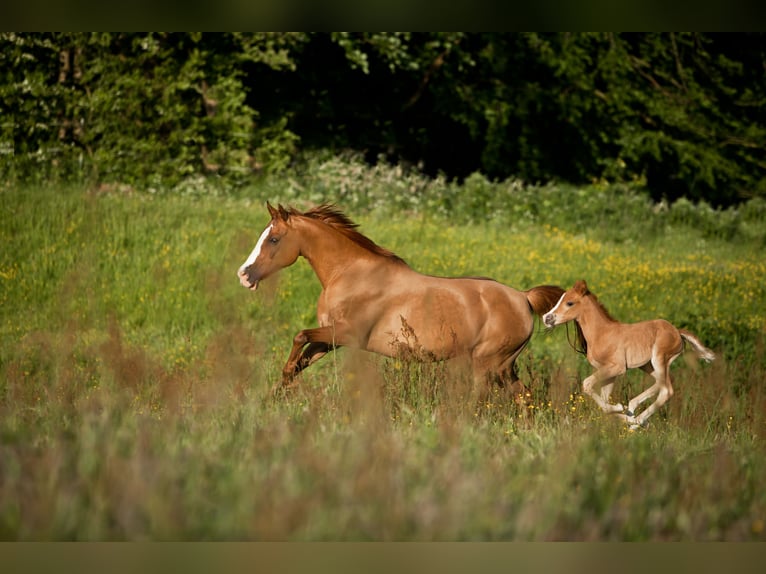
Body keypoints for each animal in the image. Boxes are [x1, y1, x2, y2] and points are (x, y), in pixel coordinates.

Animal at [237, 204, 568, 400]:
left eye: (274, 239)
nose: (244, 274)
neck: (351, 274)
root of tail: (524, 298)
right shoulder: (331, 339)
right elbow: (301, 359)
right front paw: (274, 393)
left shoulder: (346, 334)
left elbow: (299, 335)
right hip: (504, 367)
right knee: (524, 396)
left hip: (487, 364)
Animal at [544, 282, 716, 430]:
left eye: (570, 303)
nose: (547, 318)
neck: (601, 333)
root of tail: (678, 332)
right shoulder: (609, 373)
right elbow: (604, 403)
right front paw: (622, 411)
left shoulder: (617, 368)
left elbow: (587, 384)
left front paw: (622, 410)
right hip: (647, 365)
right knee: (662, 383)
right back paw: (634, 412)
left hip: (659, 358)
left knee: (666, 389)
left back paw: (637, 421)